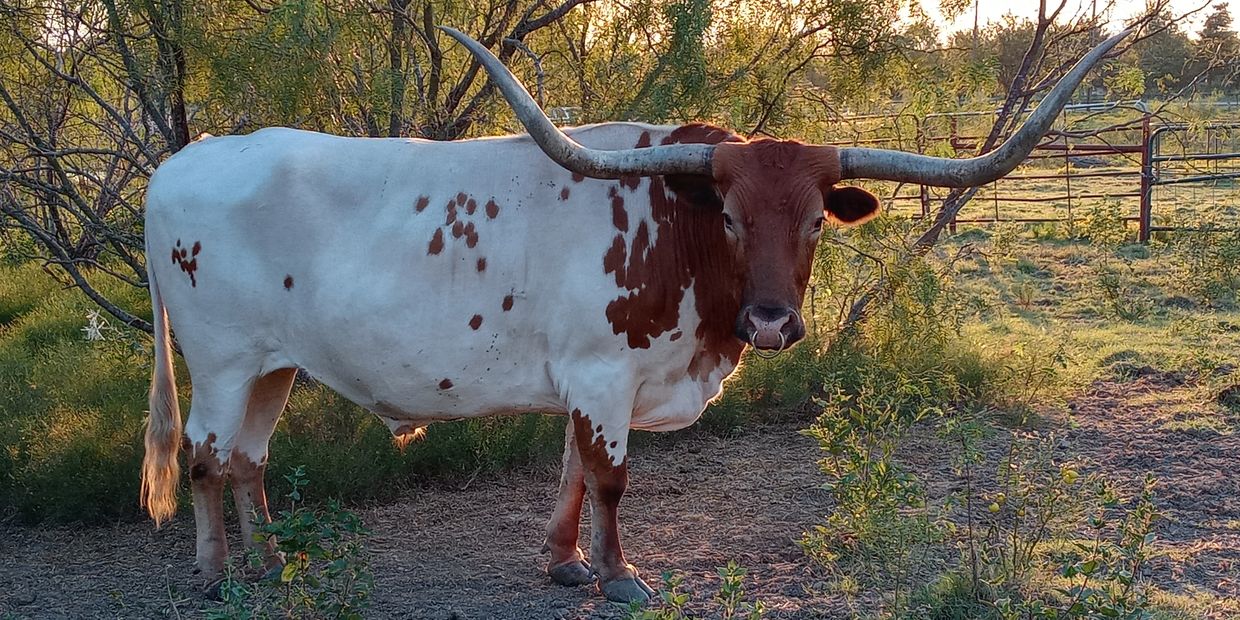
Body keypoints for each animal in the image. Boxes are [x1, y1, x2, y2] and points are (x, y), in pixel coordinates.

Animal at [140, 27, 1130, 604]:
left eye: (815, 220)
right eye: (729, 213)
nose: (771, 323)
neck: (671, 221)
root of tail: (182, 162)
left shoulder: (590, 384)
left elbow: (574, 476)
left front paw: (565, 562)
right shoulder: (601, 373)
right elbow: (609, 479)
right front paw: (619, 576)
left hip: (275, 363)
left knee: (248, 461)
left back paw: (272, 563)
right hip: (221, 360)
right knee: (204, 460)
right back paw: (216, 575)